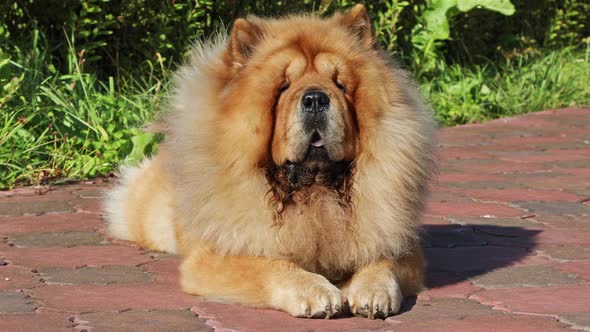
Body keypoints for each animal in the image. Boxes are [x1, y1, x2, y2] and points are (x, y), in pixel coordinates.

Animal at [106, 2, 438, 320]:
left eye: (340, 84)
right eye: (283, 87)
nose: (316, 99)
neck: (314, 193)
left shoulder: (399, 244)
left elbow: (383, 263)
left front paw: (372, 293)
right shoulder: (218, 254)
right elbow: (271, 266)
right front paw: (317, 292)